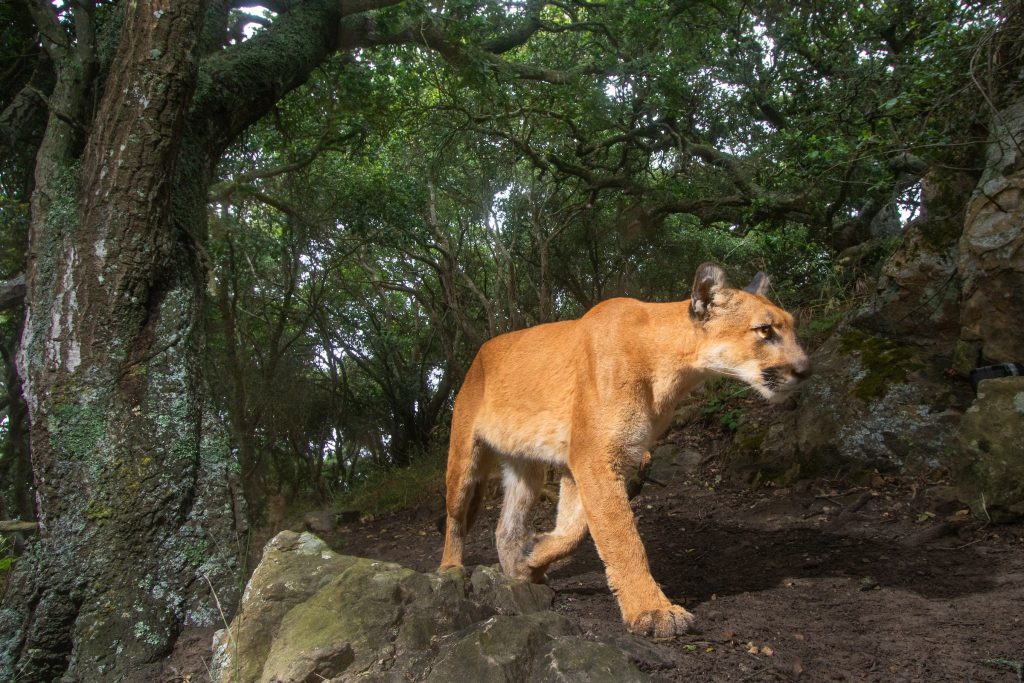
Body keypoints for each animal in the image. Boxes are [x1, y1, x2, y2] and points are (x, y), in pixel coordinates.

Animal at [438, 262, 811, 637]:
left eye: (792, 327)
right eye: (765, 330)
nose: (806, 369)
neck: (671, 367)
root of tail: (479, 354)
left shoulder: (595, 459)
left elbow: (575, 530)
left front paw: (531, 557)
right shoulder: (594, 456)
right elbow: (622, 537)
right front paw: (653, 611)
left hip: (526, 467)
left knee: (506, 525)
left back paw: (516, 573)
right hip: (464, 457)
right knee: (455, 517)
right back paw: (450, 569)